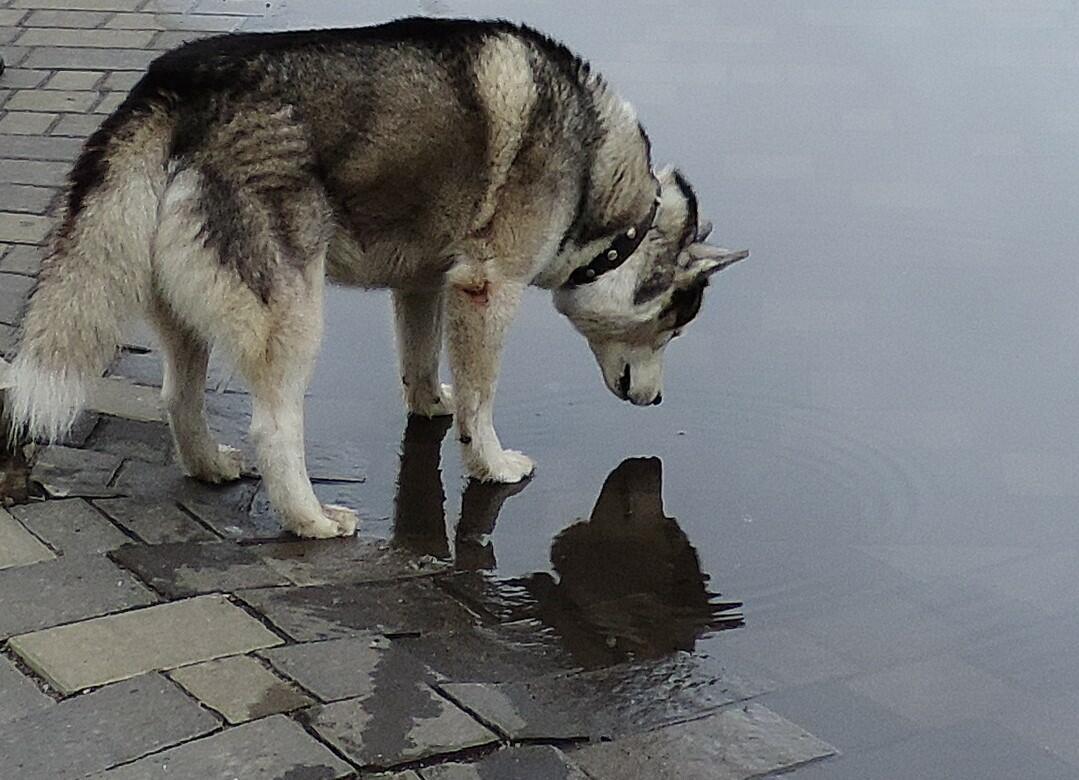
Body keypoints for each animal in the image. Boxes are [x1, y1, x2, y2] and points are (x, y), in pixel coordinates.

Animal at [8, 21, 746, 539]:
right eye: (674, 326)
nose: (656, 401)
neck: (598, 178)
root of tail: (175, 85)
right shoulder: (487, 290)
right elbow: (481, 398)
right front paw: (491, 465)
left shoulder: (422, 286)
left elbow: (420, 364)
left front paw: (430, 405)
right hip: (293, 316)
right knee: (274, 428)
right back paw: (309, 520)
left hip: (185, 315)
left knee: (177, 396)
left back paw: (211, 467)